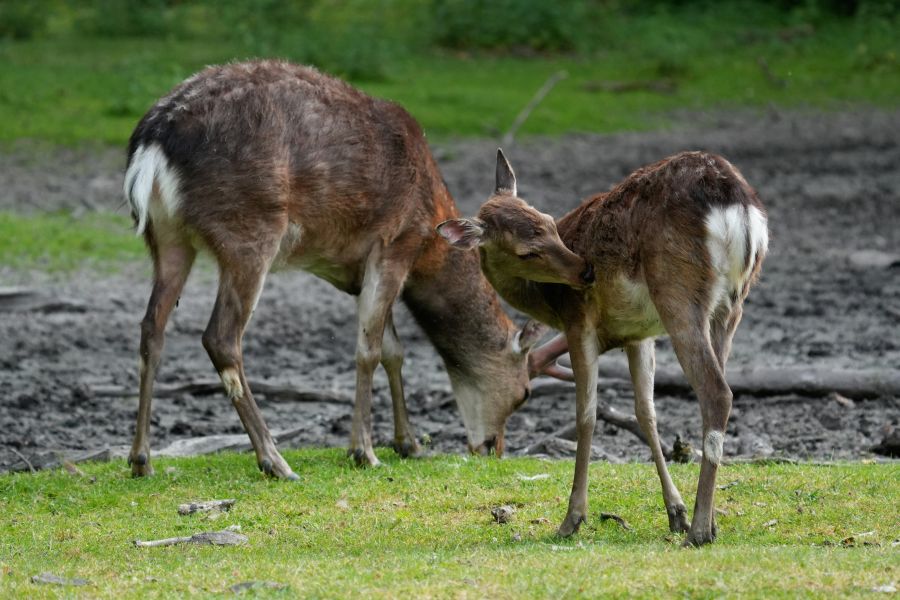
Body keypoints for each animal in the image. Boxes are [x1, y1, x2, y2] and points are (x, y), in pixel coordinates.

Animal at [122, 61, 558, 480]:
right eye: (524, 392)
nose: (493, 448)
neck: (430, 242)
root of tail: (151, 146)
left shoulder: (359, 271)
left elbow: (393, 350)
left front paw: (408, 444)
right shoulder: (394, 243)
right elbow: (369, 350)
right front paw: (364, 452)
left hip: (167, 237)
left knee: (151, 328)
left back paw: (142, 460)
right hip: (248, 230)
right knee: (221, 338)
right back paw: (275, 461)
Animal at [438, 149, 768, 546]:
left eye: (550, 224)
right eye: (527, 250)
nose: (586, 271)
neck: (546, 300)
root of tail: (736, 202)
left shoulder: (579, 321)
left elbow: (587, 414)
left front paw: (572, 519)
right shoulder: (638, 335)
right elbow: (646, 413)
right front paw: (675, 513)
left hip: (677, 292)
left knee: (717, 392)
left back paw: (700, 532)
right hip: (732, 304)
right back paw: (710, 522)